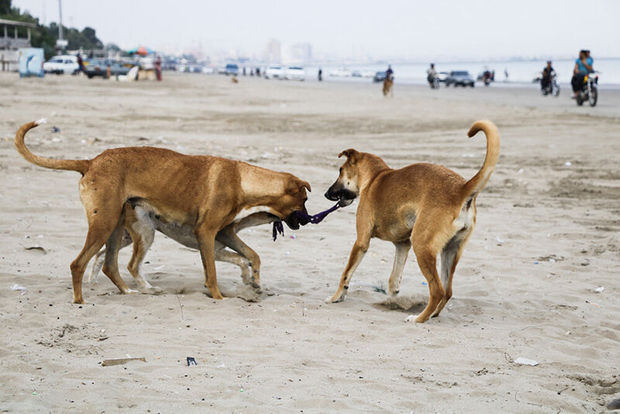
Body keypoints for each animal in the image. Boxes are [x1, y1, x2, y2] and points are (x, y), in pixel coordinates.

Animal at [15, 119, 310, 304]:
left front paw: (254, 282)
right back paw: (80, 300)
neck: (242, 180)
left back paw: (130, 291)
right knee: (83, 263)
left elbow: (251, 256)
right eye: (305, 199)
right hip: (109, 224)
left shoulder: (224, 234)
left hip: (119, 228)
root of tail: (91, 162)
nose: (308, 221)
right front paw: (218, 296)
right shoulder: (207, 235)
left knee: (110, 264)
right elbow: (213, 272)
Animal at [324, 119, 498, 324]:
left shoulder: (361, 242)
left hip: (422, 246)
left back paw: (419, 318)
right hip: (450, 251)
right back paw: (432, 314)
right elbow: (393, 281)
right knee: (447, 291)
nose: (326, 194)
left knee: (437, 290)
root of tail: (461, 189)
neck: (375, 176)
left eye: (340, 171)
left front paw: (336, 297)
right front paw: (391, 301)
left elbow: (346, 274)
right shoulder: (402, 245)